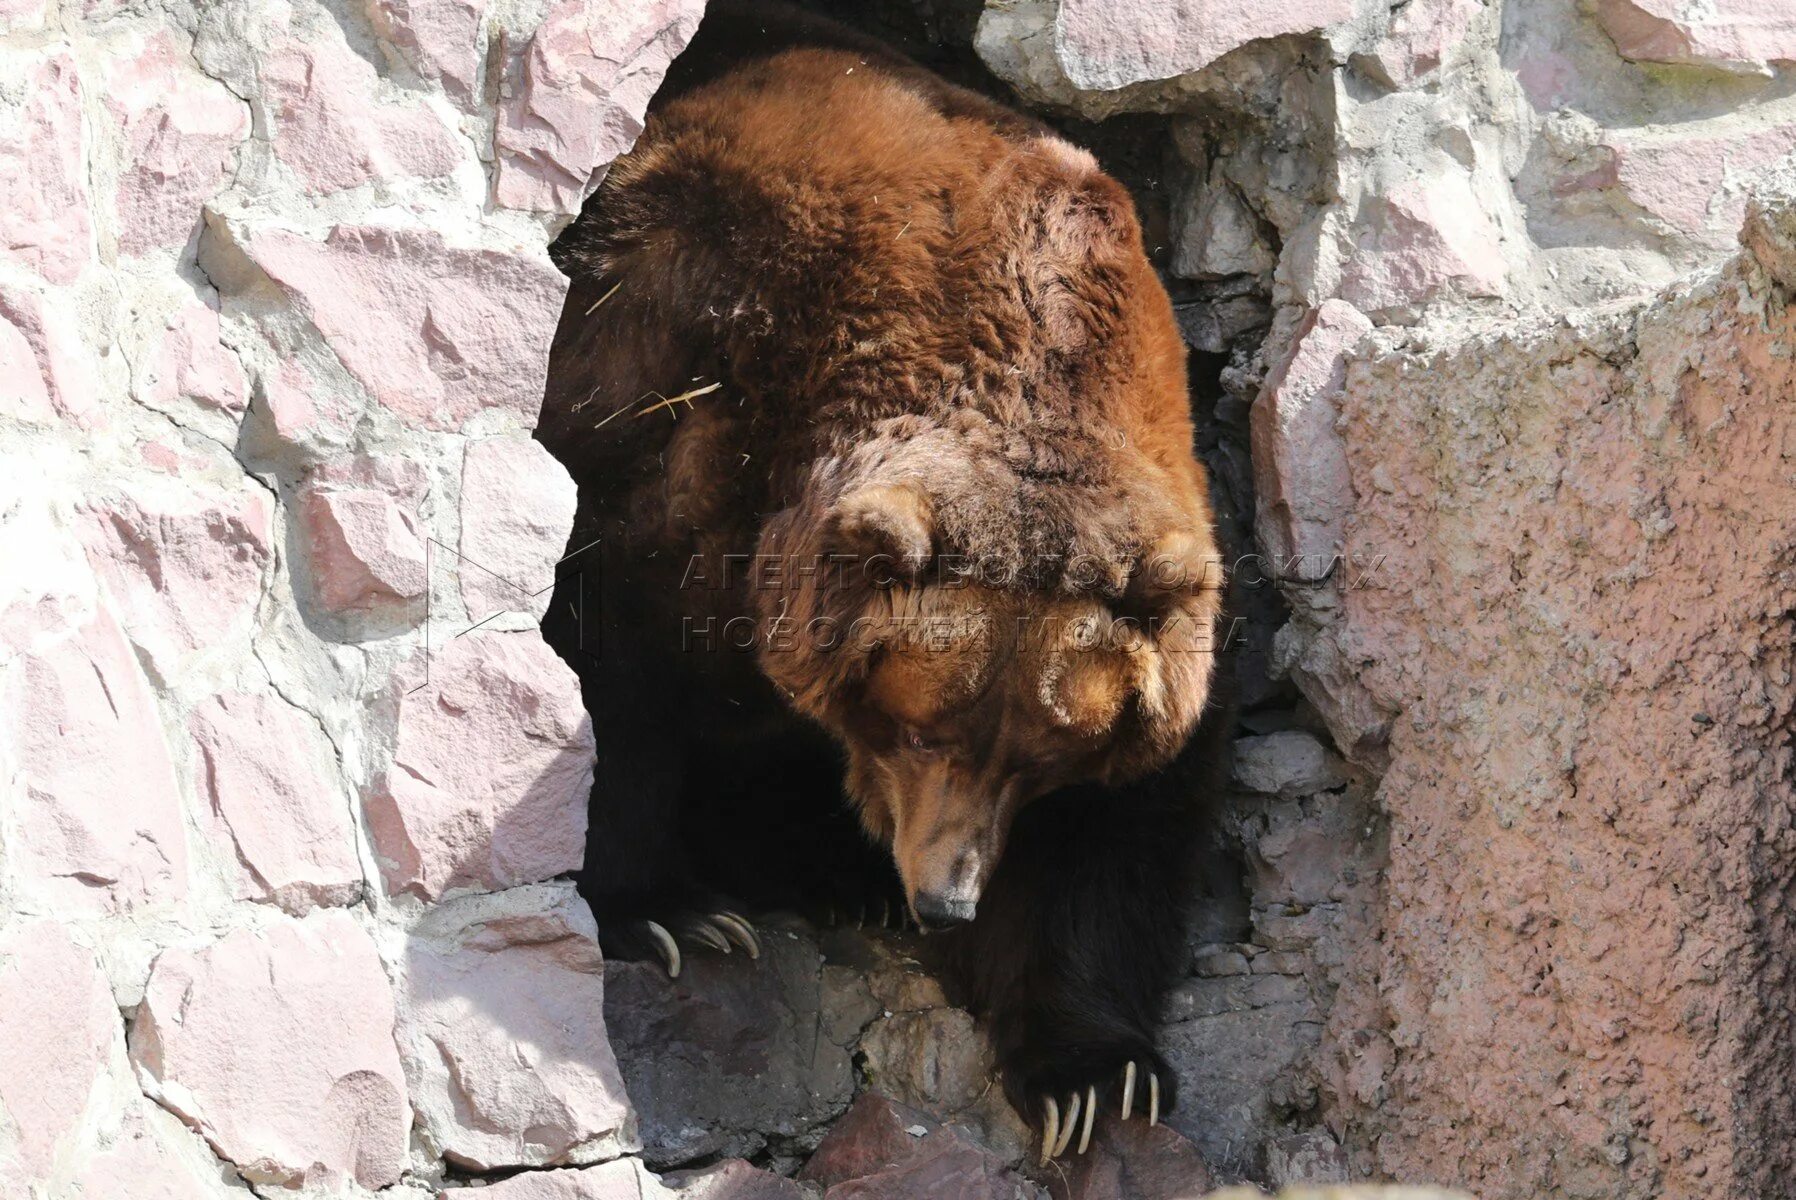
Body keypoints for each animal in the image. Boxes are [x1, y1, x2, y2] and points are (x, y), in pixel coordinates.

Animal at [538, 0, 1228, 1164]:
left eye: (1044, 755)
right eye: (914, 724)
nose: (945, 899)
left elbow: (1120, 828)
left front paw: (1095, 1073)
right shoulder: (675, 394)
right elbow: (610, 658)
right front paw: (669, 913)